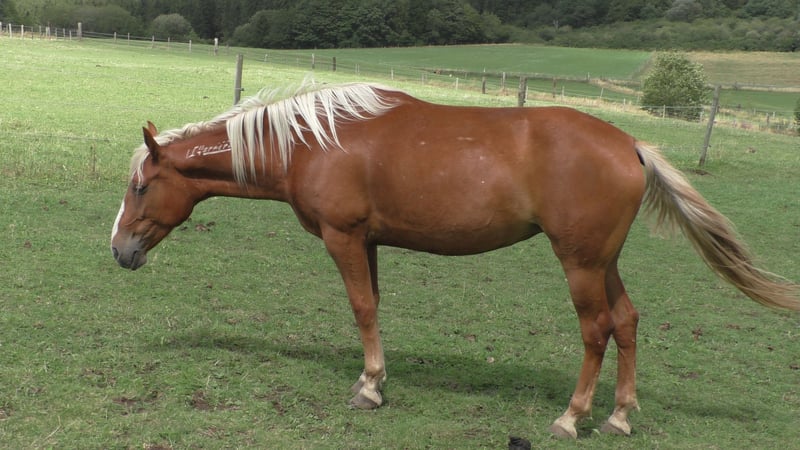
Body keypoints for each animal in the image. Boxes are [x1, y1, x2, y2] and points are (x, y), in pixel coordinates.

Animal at [111, 81, 800, 439]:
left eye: (140, 187)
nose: (119, 250)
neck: (313, 141)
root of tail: (630, 144)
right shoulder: (369, 242)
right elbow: (374, 306)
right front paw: (374, 379)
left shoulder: (343, 237)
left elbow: (361, 308)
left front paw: (369, 388)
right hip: (603, 261)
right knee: (627, 323)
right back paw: (620, 417)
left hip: (579, 264)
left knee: (597, 330)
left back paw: (572, 417)